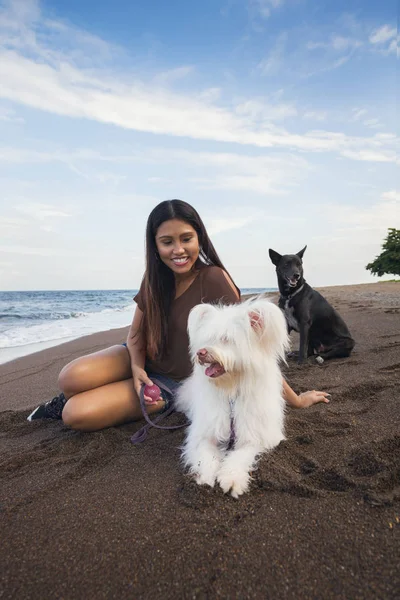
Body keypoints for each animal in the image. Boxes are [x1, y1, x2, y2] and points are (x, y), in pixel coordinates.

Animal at [175, 298, 290, 500]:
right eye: (207, 338)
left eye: (226, 339)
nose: (201, 352)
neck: (231, 391)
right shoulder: (205, 433)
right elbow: (206, 455)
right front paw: (205, 476)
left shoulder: (255, 436)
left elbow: (240, 456)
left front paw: (232, 480)